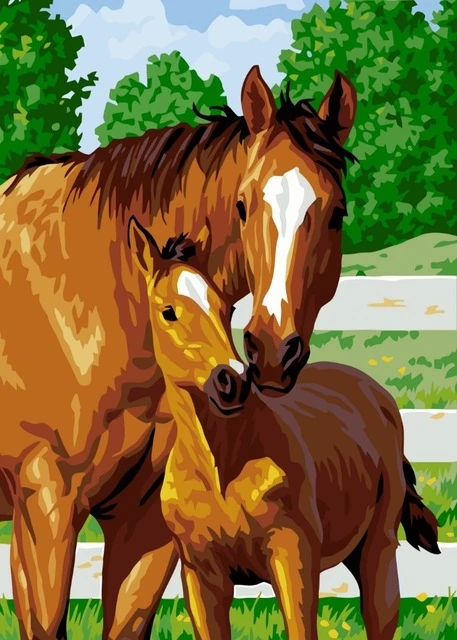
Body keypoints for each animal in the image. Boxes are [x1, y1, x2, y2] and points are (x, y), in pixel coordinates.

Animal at [128, 219, 440, 640]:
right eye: (168, 312)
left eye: (227, 308)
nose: (231, 382)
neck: (222, 467)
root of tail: (376, 393)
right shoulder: (200, 575)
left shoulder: (293, 560)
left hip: (378, 549)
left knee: (380, 616)